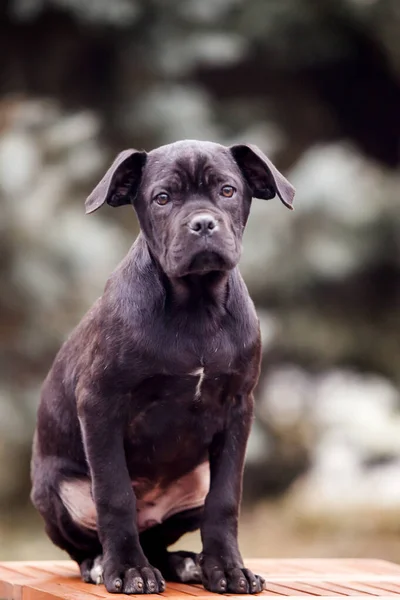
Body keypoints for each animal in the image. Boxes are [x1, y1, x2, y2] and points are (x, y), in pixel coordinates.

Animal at [30, 141, 294, 596]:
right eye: (162, 198)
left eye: (227, 190)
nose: (203, 224)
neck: (197, 307)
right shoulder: (100, 404)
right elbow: (114, 493)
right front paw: (126, 570)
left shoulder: (238, 407)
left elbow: (225, 499)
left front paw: (228, 568)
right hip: (55, 490)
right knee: (90, 542)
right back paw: (103, 563)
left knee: (160, 541)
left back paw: (189, 563)